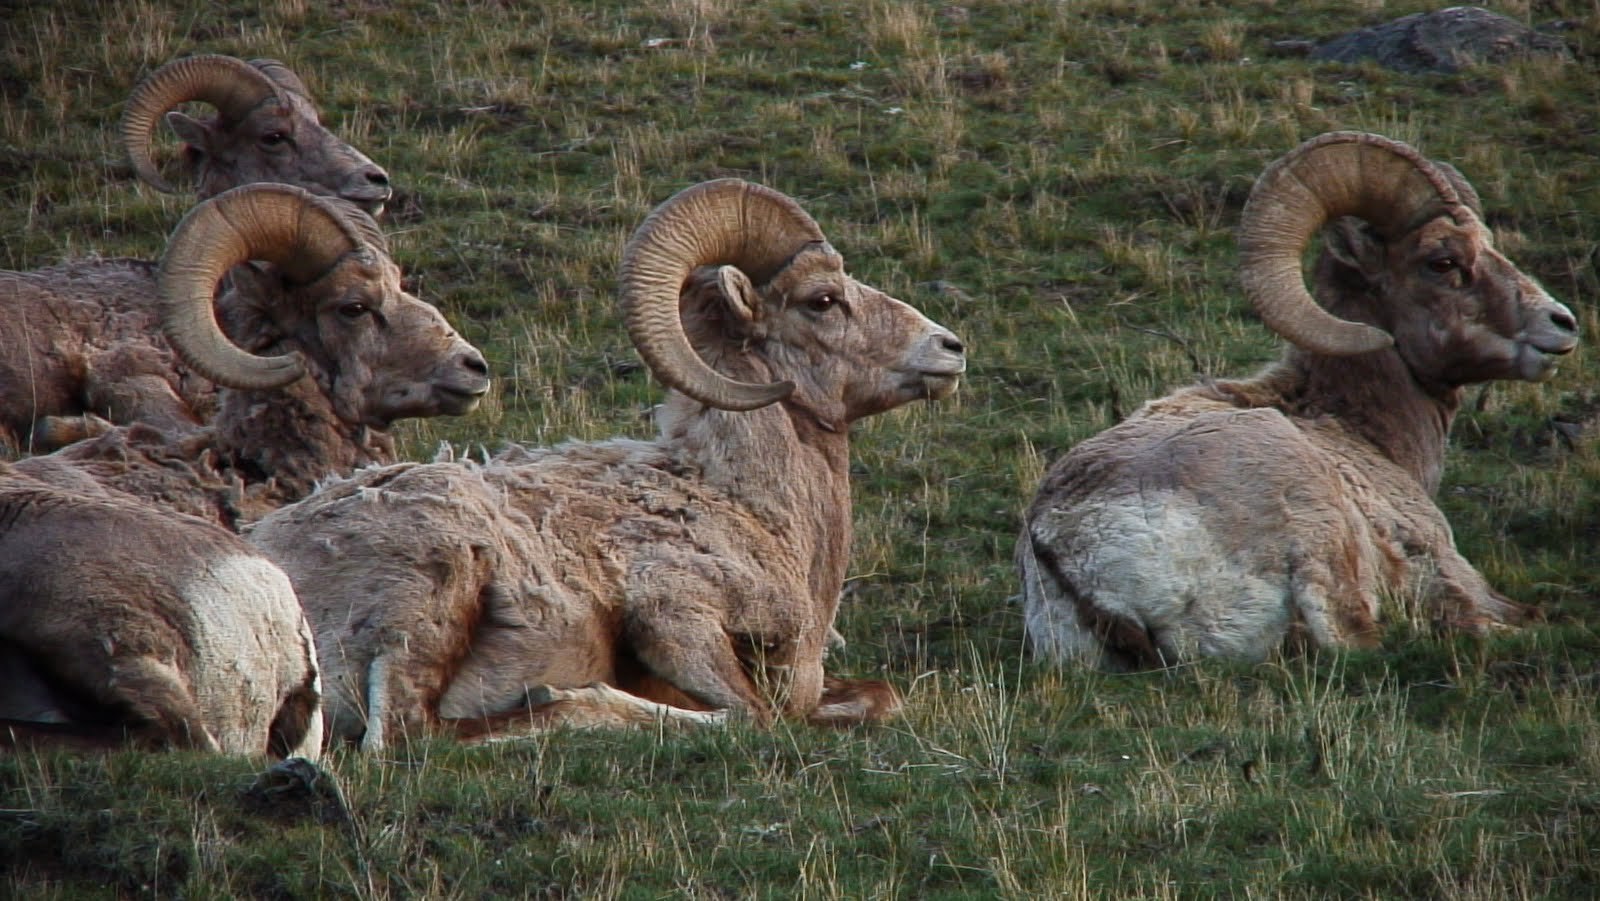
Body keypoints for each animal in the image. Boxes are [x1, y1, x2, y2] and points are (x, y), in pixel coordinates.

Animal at [252, 178, 960, 748]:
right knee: (408, 735)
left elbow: (876, 699)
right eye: (823, 300)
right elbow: (756, 715)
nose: (950, 348)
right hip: (437, 588)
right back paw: (562, 700)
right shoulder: (671, 614)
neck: (751, 508)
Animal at [1017, 133, 1580, 668]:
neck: (1355, 427)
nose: (1563, 324)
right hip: (1325, 552)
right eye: (1442, 261)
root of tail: (1071, 547)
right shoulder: (1449, 571)